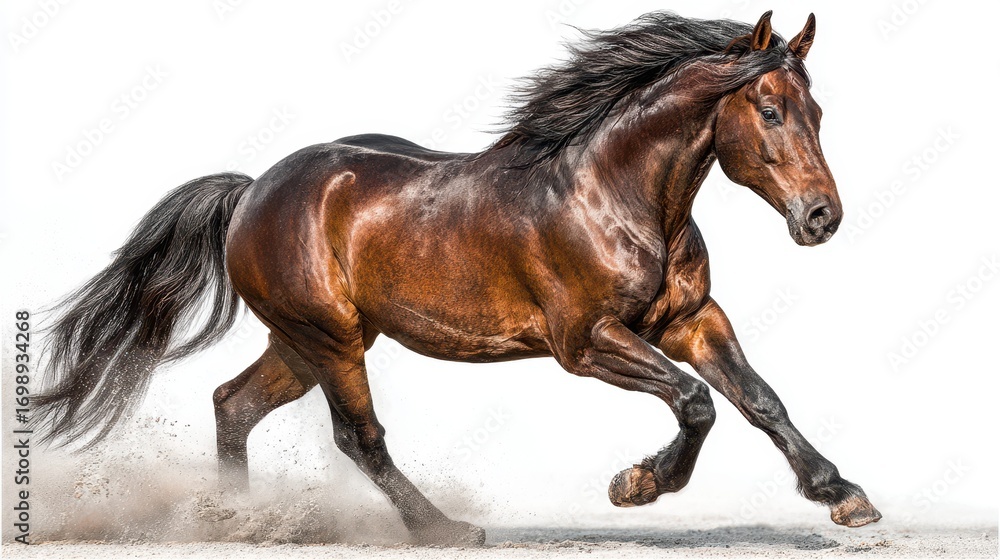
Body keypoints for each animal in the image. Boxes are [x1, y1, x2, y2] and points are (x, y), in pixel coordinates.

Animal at [35, 11, 881, 546]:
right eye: (768, 109)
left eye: (817, 112)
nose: (821, 217)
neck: (618, 194)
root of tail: (250, 192)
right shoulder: (585, 341)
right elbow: (697, 401)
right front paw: (636, 484)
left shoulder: (691, 320)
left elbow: (759, 399)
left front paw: (844, 497)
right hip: (332, 338)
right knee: (359, 436)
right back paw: (440, 528)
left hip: (306, 342)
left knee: (233, 404)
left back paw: (235, 522)